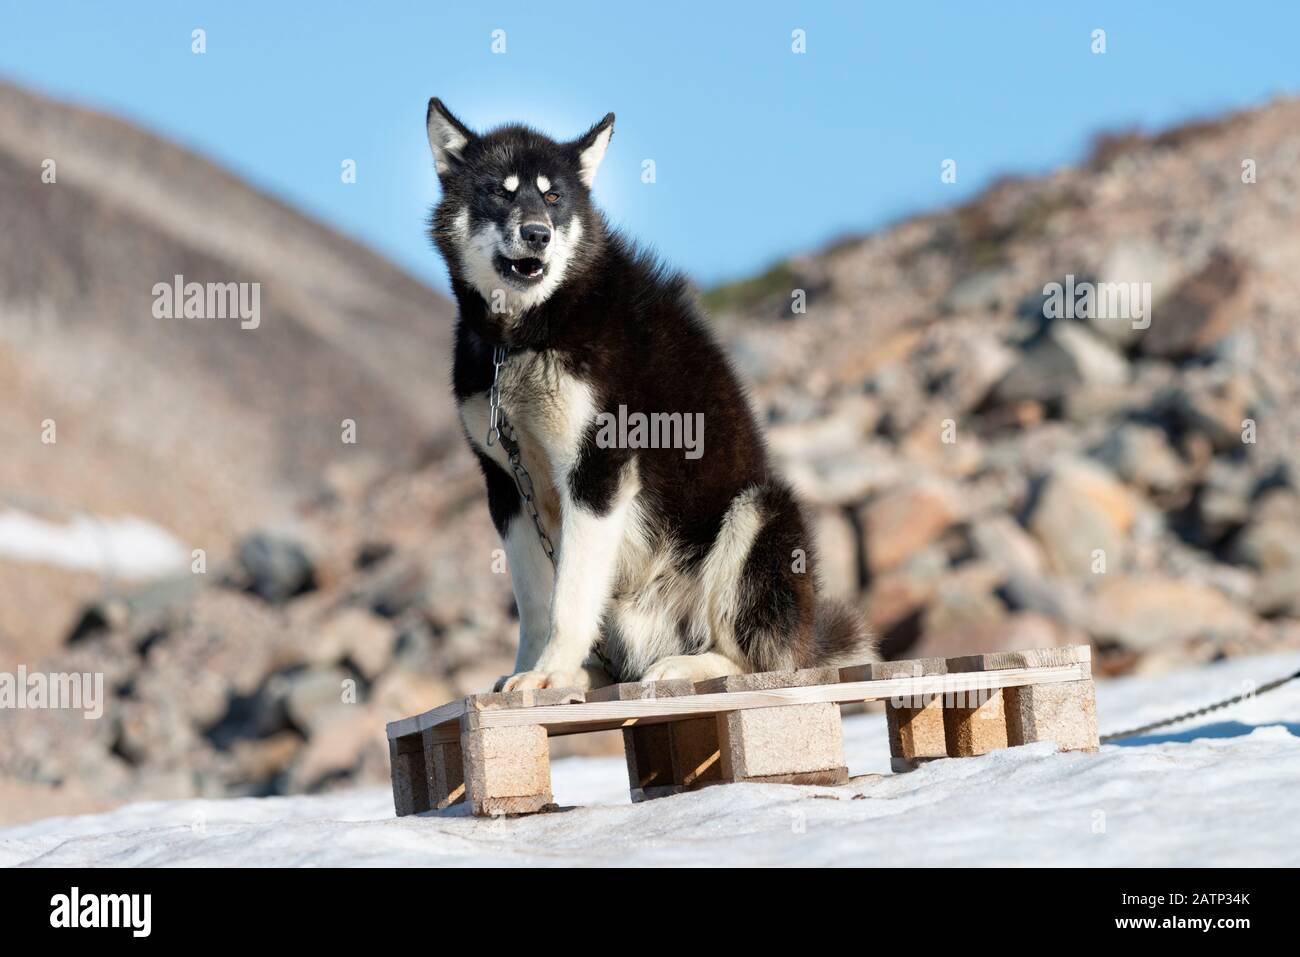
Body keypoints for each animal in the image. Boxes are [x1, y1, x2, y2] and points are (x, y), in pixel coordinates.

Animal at [426, 100, 873, 691]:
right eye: (502, 192)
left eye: (553, 197)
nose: (538, 234)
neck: (528, 332)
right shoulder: (507, 486)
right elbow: (536, 605)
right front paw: (530, 671)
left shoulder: (596, 468)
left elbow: (569, 599)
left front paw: (551, 672)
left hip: (760, 510)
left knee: (758, 658)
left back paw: (688, 663)